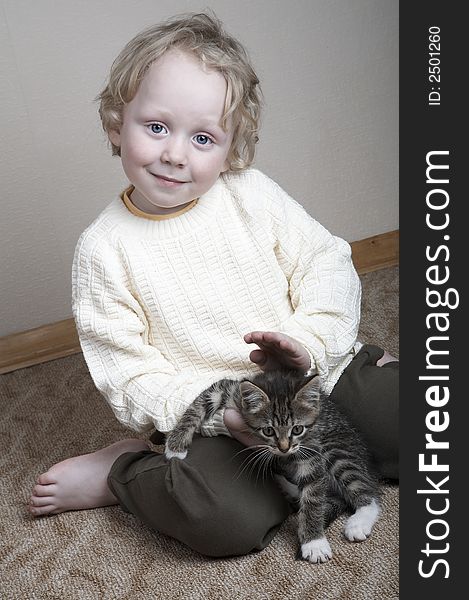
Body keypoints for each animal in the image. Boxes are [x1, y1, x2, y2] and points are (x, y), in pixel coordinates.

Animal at [165, 370, 380, 564]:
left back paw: (360, 520)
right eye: (268, 431)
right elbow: (201, 402)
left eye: (297, 429)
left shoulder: (310, 446)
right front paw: (175, 445)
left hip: (335, 449)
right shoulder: (233, 393)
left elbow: (313, 493)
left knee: (366, 491)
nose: (284, 448)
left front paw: (314, 543)